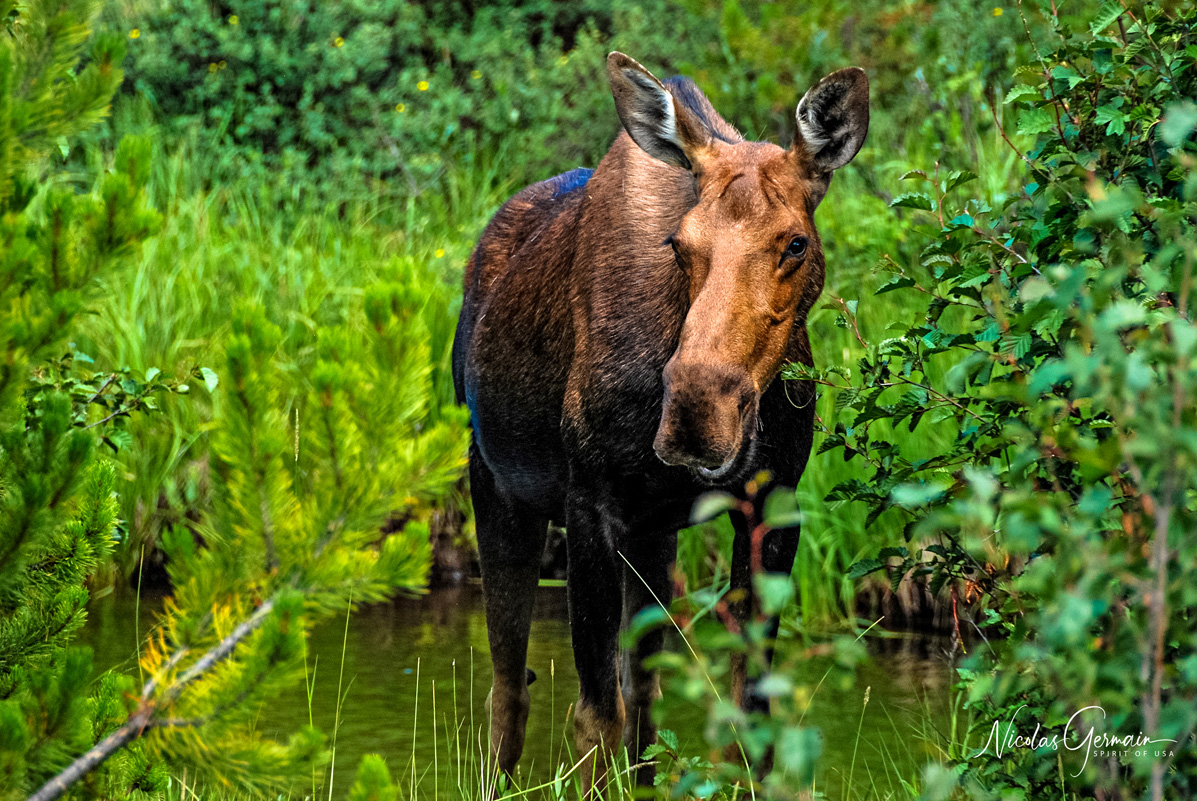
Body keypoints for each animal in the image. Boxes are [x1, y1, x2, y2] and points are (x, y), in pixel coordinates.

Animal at [450, 52, 871, 790]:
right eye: (679, 243)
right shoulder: (588, 504)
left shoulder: (771, 502)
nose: (698, 413)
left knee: (641, 692)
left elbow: (747, 716)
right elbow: (593, 718)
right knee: (509, 689)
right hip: (496, 487)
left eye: (794, 243)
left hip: (652, 538)